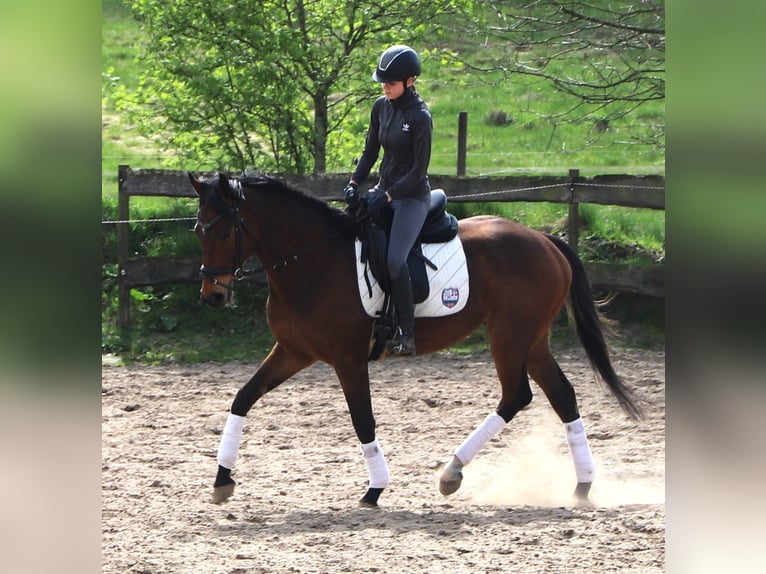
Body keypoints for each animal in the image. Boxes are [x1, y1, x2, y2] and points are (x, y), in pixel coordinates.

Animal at [188, 171, 642, 507]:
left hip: (510, 337)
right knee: (562, 395)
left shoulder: (348, 359)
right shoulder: (293, 351)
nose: (213, 295)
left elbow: (363, 419)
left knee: (517, 395)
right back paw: (581, 486)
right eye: (198, 230)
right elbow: (243, 398)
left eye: (225, 232)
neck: (314, 260)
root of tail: (544, 240)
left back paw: (452, 472)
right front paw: (222, 479)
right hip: (531, 340)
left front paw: (375, 489)